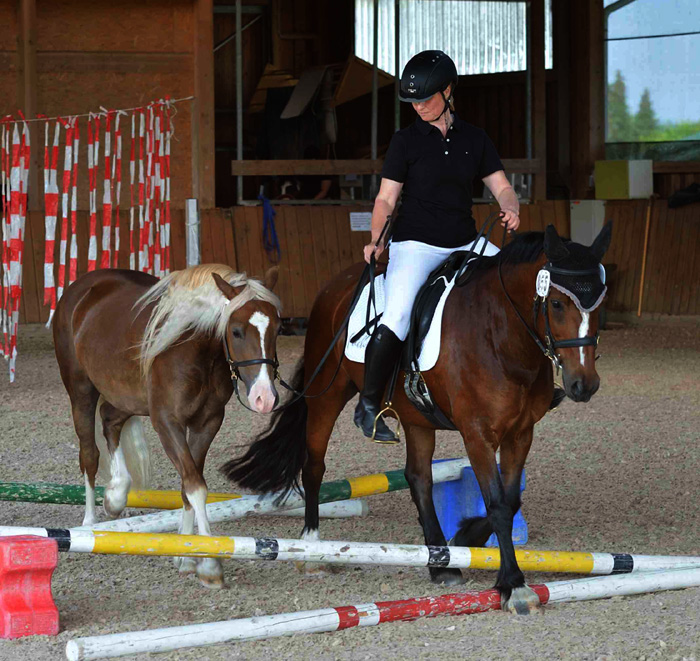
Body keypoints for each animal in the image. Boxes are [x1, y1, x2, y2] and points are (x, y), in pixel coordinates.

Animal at [53, 263, 281, 587]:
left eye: (278, 328)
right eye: (236, 331)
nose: (264, 397)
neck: (191, 349)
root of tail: (80, 288)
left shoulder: (207, 422)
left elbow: (188, 486)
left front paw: (186, 555)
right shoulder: (166, 422)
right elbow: (195, 486)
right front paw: (210, 565)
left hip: (129, 399)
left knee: (110, 421)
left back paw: (116, 494)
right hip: (81, 391)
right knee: (89, 455)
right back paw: (89, 524)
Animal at [222, 222, 612, 613]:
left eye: (600, 304)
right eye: (558, 303)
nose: (584, 384)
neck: (502, 338)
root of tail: (338, 283)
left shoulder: (521, 432)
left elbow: (511, 499)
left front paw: (467, 536)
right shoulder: (477, 433)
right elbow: (499, 504)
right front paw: (514, 585)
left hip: (416, 417)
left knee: (418, 478)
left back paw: (441, 562)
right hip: (328, 394)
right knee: (314, 466)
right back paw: (311, 546)